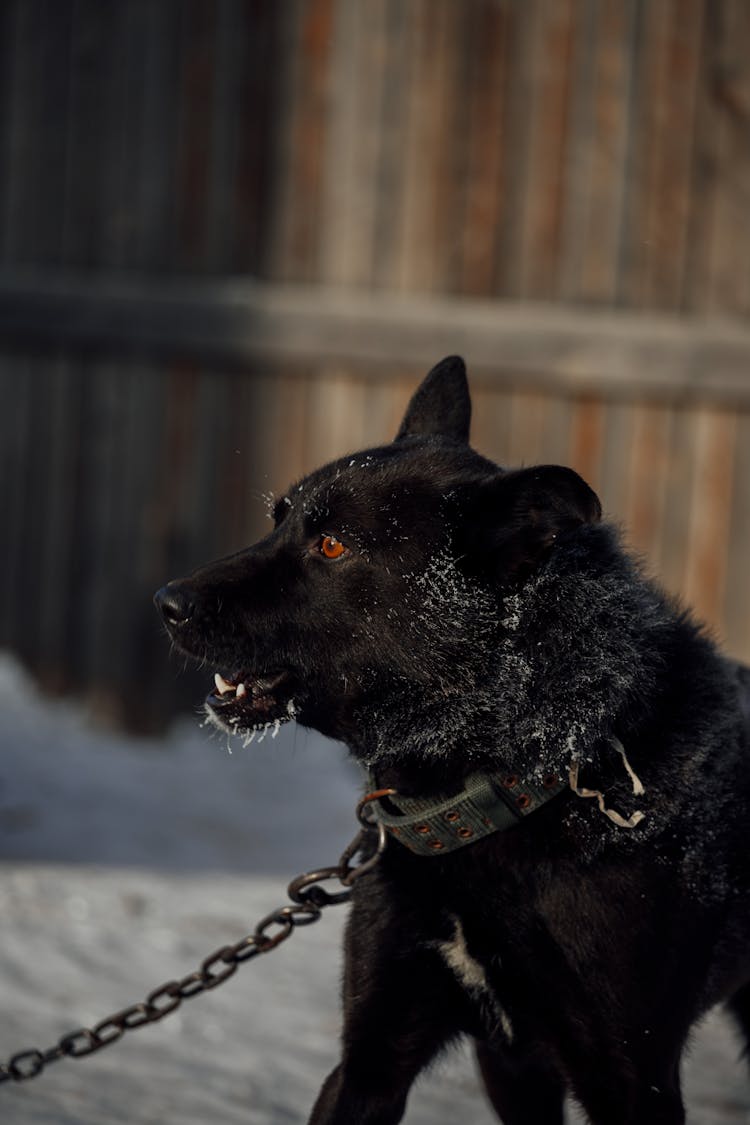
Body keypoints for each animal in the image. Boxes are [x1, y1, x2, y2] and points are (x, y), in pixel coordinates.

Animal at [154, 360, 750, 1125]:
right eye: (278, 518)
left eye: (333, 545)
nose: (168, 602)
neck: (513, 772)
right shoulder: (374, 1059)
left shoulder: (631, 1081)